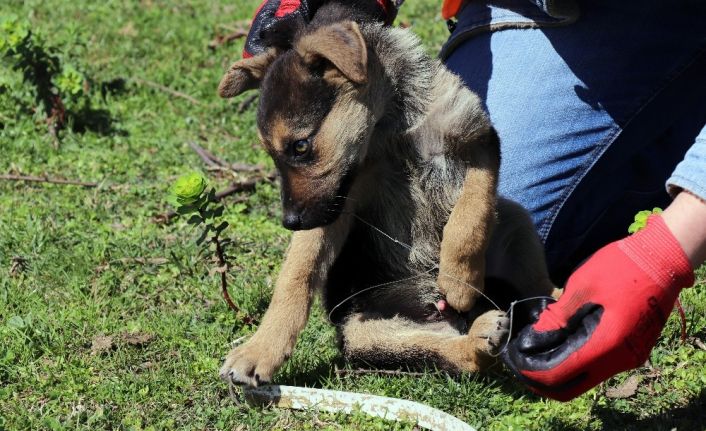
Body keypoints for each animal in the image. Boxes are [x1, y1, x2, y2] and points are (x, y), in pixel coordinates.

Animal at [216, 3, 556, 388]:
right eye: (273, 155)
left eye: (300, 147)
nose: (290, 223)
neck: (393, 124)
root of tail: (437, 314)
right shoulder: (338, 201)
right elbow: (296, 276)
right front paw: (259, 350)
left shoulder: (479, 143)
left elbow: (470, 216)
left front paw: (459, 279)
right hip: (365, 332)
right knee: (452, 356)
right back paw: (481, 337)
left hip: (514, 219)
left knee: (532, 276)